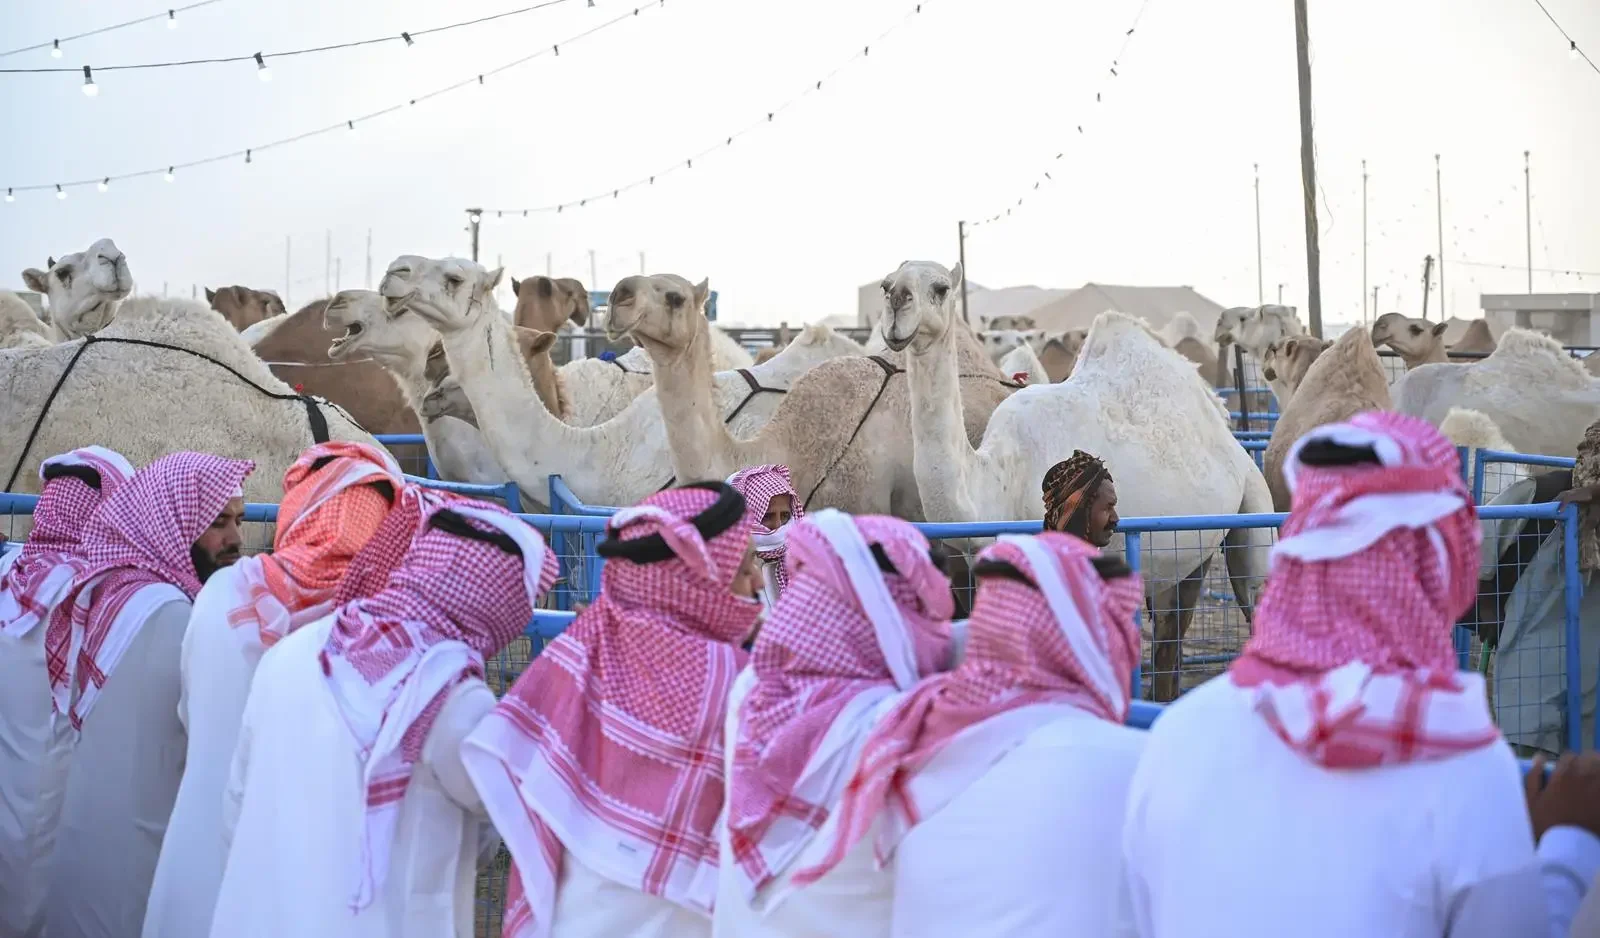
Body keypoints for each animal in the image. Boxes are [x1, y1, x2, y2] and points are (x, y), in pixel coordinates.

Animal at [889, 259, 1273, 697]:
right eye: (888, 284)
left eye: (939, 287)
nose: (898, 303)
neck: (998, 483)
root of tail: (1224, 422)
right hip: (1189, 553)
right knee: (1168, 642)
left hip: (1252, 507)